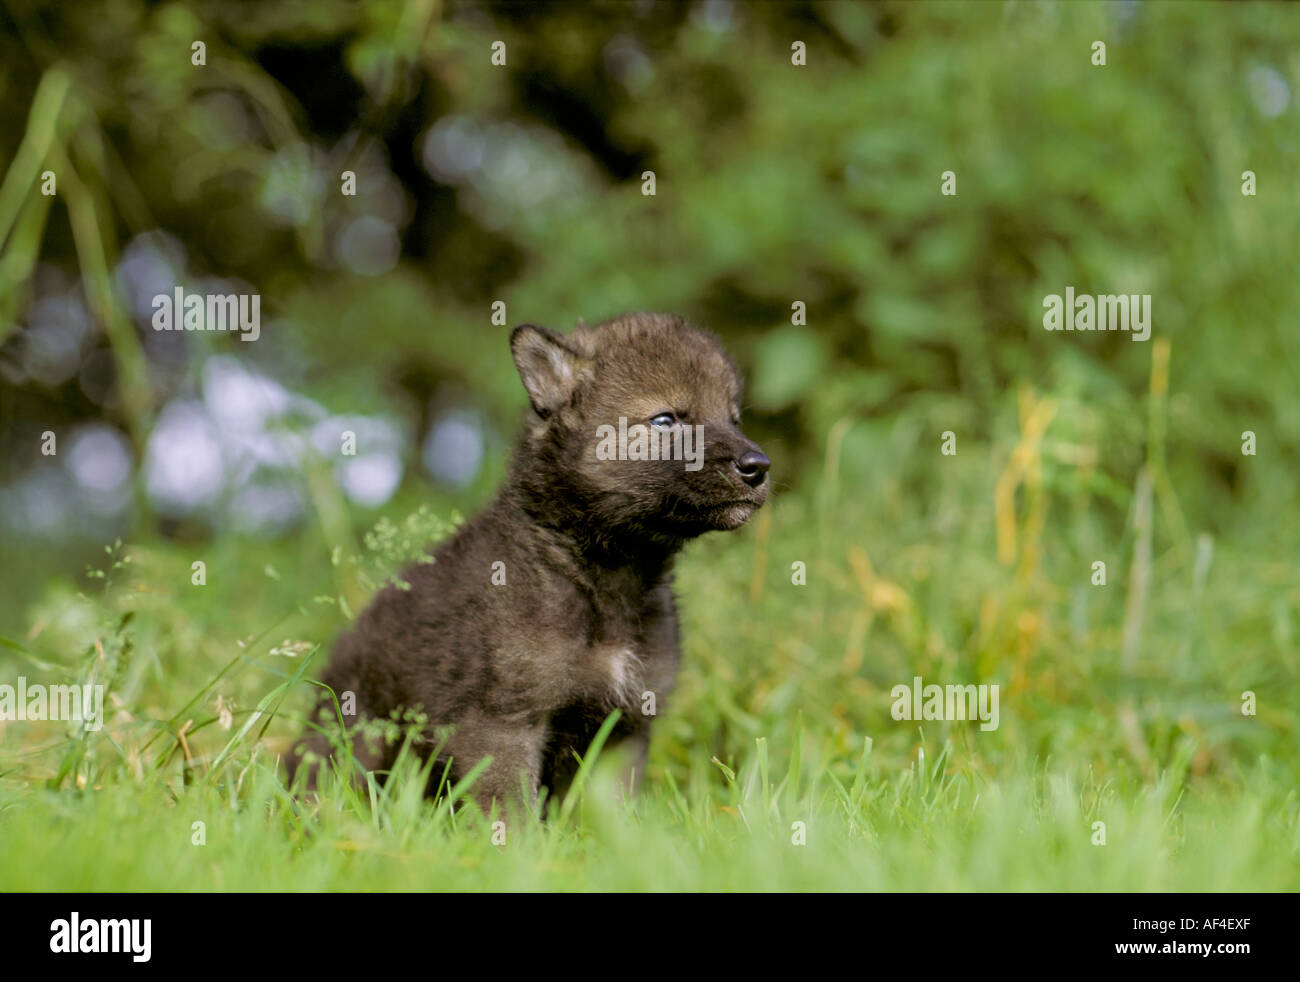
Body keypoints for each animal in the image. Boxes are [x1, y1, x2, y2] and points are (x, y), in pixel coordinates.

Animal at [289, 313, 764, 816]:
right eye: (666, 419)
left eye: (734, 419)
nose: (759, 466)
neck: (608, 571)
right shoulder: (504, 721)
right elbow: (510, 810)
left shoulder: (626, 724)